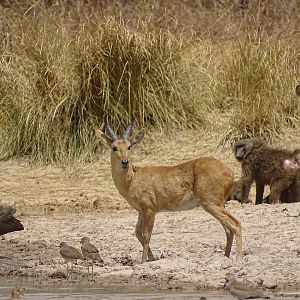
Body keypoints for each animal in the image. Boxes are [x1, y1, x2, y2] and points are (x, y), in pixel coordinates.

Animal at [97, 116, 243, 262]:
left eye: (129, 146)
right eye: (114, 147)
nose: (125, 162)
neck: (132, 179)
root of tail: (229, 171)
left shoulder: (149, 210)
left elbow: (146, 235)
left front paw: (143, 262)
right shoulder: (140, 211)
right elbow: (137, 233)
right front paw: (152, 259)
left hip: (210, 204)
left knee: (235, 224)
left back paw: (238, 259)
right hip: (218, 204)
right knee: (228, 229)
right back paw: (226, 257)